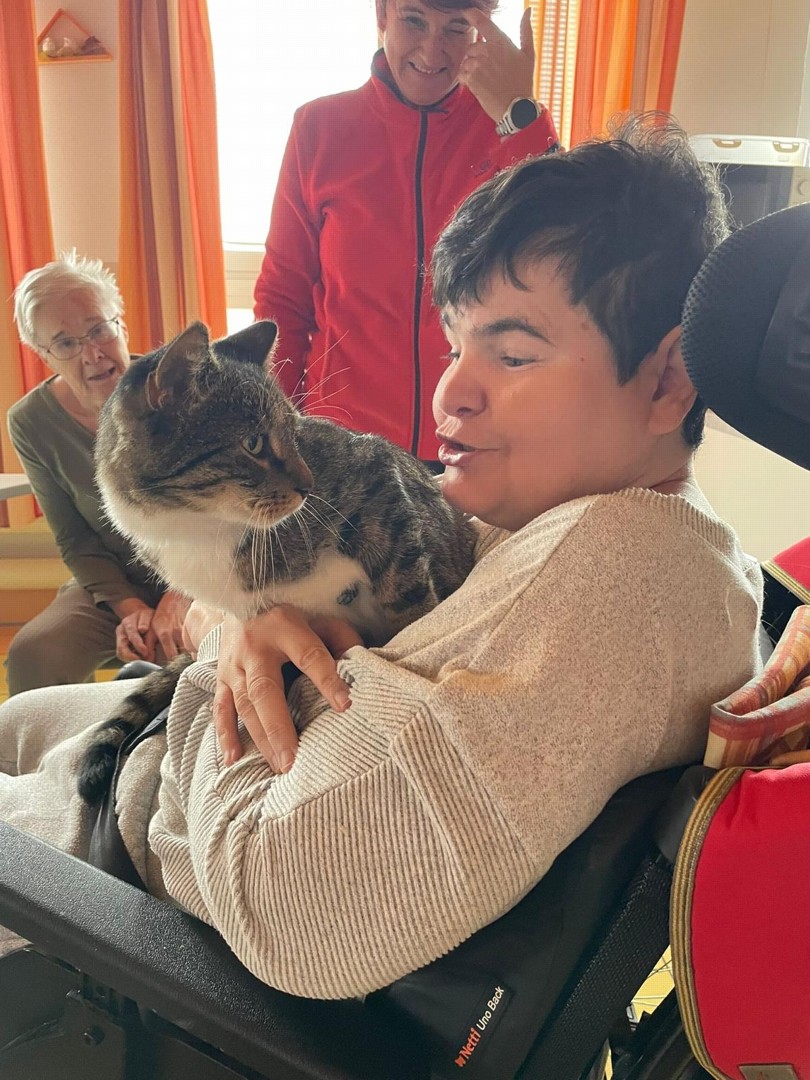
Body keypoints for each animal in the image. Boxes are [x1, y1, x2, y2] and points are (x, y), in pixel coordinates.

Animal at [78, 319, 477, 804]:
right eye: (253, 443)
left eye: (295, 431)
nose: (308, 487)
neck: (204, 526)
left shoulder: (379, 479)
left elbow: (408, 598)